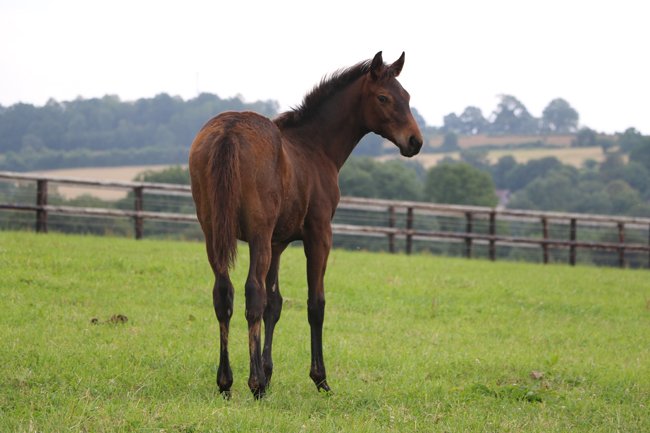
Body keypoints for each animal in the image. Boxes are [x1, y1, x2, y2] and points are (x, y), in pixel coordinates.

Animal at [189, 51, 423, 398]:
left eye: (406, 96)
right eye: (383, 97)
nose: (414, 141)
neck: (314, 147)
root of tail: (229, 131)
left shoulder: (277, 243)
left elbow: (274, 304)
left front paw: (269, 372)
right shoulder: (318, 235)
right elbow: (315, 303)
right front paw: (319, 378)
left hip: (213, 232)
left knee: (224, 294)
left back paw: (226, 382)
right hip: (257, 234)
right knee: (251, 293)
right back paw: (254, 383)